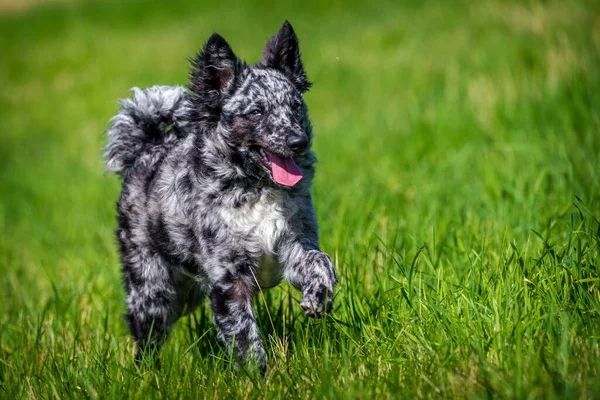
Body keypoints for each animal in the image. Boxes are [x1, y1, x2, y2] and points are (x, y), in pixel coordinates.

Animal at [103, 21, 338, 370]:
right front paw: (260, 374)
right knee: (146, 336)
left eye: (295, 105)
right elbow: (243, 334)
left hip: (188, 294)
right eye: (256, 112)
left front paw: (318, 296)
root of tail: (147, 149)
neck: (255, 186)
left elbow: (318, 261)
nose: (298, 142)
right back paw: (145, 372)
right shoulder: (228, 280)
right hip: (155, 292)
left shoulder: (294, 246)